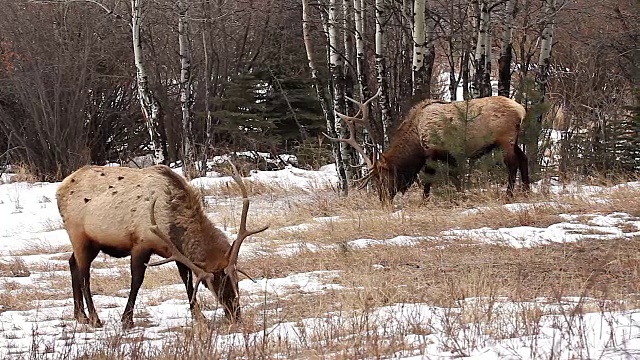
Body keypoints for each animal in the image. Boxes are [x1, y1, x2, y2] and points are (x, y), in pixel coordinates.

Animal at [55, 163, 264, 330]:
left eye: (236, 280)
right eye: (213, 285)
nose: (235, 314)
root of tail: (61, 187)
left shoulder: (176, 252)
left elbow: (187, 280)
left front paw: (198, 316)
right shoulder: (141, 244)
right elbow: (137, 281)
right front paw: (127, 320)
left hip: (92, 243)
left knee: (72, 263)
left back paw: (80, 315)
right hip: (78, 235)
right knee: (84, 275)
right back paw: (94, 318)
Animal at [330, 90, 528, 202]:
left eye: (383, 178)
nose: (383, 200)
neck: (416, 141)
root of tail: (521, 109)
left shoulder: (437, 153)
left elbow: (433, 179)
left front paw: (427, 201)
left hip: (506, 139)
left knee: (512, 164)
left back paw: (509, 195)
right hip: (514, 140)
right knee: (523, 158)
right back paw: (525, 189)